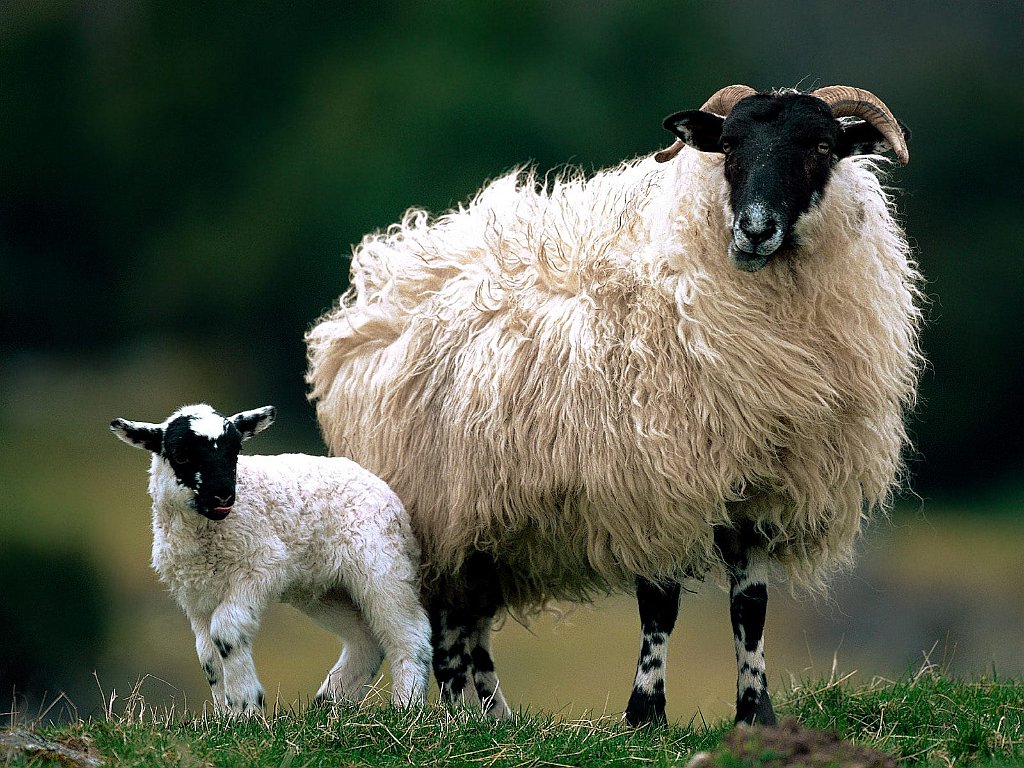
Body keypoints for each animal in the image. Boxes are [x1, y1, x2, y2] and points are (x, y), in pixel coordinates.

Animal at [110, 403, 430, 716]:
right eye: (180, 454)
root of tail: (384, 489)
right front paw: (224, 715)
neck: (206, 535)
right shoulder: (196, 596)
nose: (223, 495)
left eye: (235, 451)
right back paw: (328, 704)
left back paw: (406, 706)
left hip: (382, 565)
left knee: (411, 633)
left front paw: (246, 706)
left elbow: (226, 632)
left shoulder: (259, 566)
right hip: (326, 590)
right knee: (365, 639)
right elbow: (208, 655)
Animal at [307, 83, 925, 729]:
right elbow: (660, 605)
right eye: (729, 146)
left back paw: (498, 717)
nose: (754, 229)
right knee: (450, 626)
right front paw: (645, 713)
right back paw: (460, 717)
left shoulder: (758, 491)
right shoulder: (651, 480)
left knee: (471, 623)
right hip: (440, 509)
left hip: (484, 519)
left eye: (823, 147)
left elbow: (750, 608)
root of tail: (381, 276)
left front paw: (756, 715)